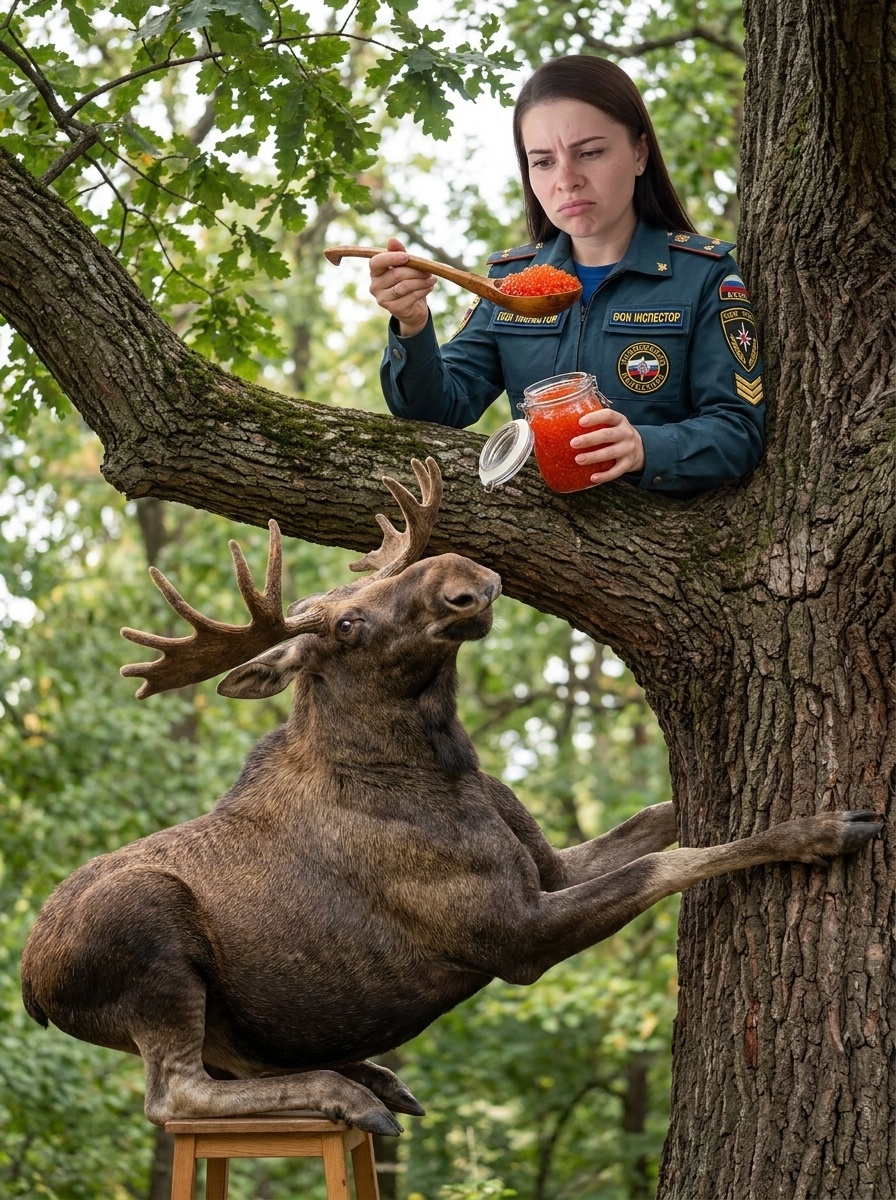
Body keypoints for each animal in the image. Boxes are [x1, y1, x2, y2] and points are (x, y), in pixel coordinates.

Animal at [21, 458, 882, 1136]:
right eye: (346, 626)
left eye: (383, 579)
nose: (464, 577)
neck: (448, 769)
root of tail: (32, 989)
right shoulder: (512, 935)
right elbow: (670, 864)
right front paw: (824, 826)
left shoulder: (546, 865)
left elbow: (656, 816)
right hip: (152, 948)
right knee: (172, 1093)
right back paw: (347, 1093)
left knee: (228, 1061)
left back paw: (371, 1078)